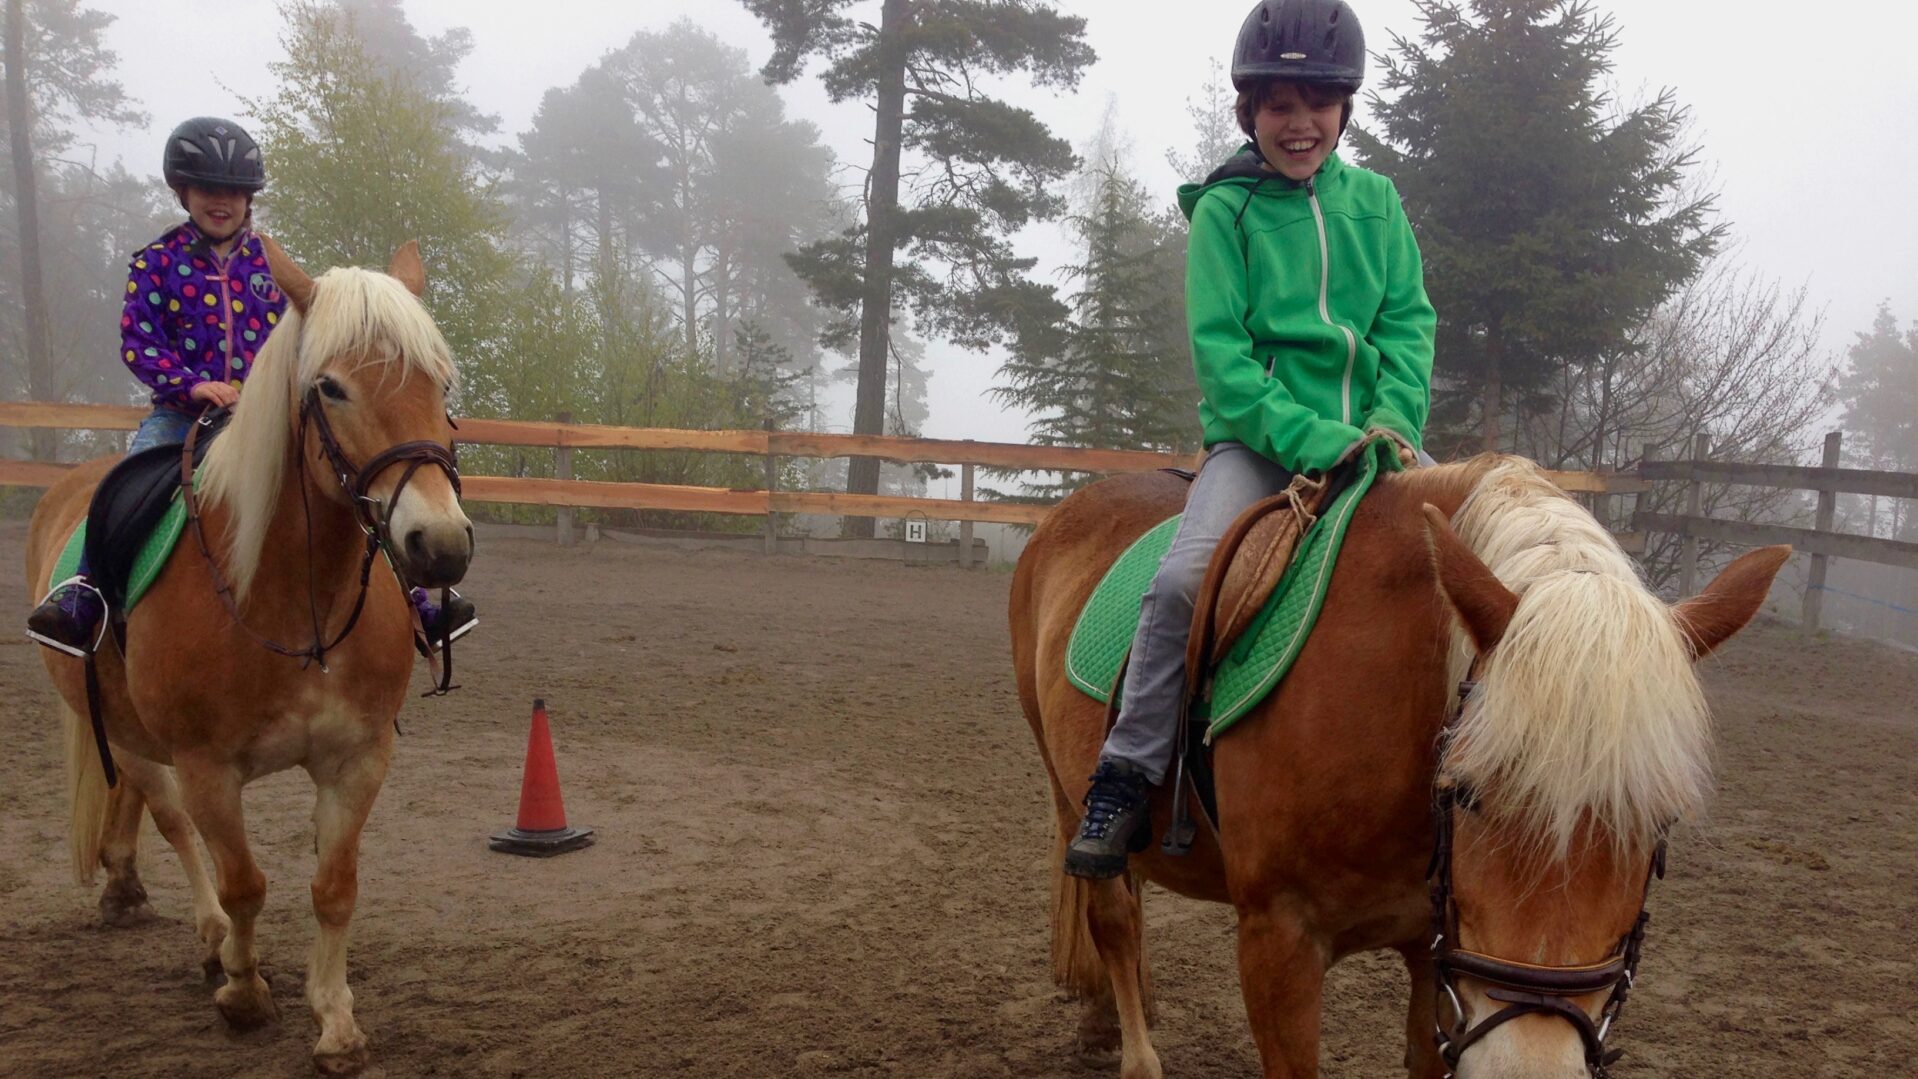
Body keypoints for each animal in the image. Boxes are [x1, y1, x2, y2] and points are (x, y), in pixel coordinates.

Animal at [29, 234, 467, 1073]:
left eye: (441, 378)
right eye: (330, 386)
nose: (441, 544)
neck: (293, 601)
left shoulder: (358, 758)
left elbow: (334, 886)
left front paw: (335, 1020)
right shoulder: (207, 765)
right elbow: (243, 883)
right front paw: (244, 989)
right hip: (131, 737)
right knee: (170, 821)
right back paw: (203, 937)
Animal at [1012, 456, 1787, 1079]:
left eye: (1659, 822)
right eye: (1466, 793)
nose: (1528, 1068)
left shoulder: (1435, 953)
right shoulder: (1277, 943)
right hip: (1067, 792)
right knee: (1112, 914)